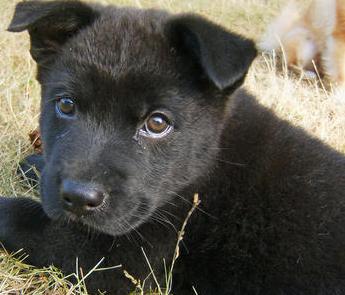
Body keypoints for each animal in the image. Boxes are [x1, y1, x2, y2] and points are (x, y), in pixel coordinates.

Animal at [2, 0, 344, 294]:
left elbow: (22, 218)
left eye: (157, 123)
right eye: (66, 105)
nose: (78, 198)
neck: (209, 168)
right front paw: (35, 164)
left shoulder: (119, 258)